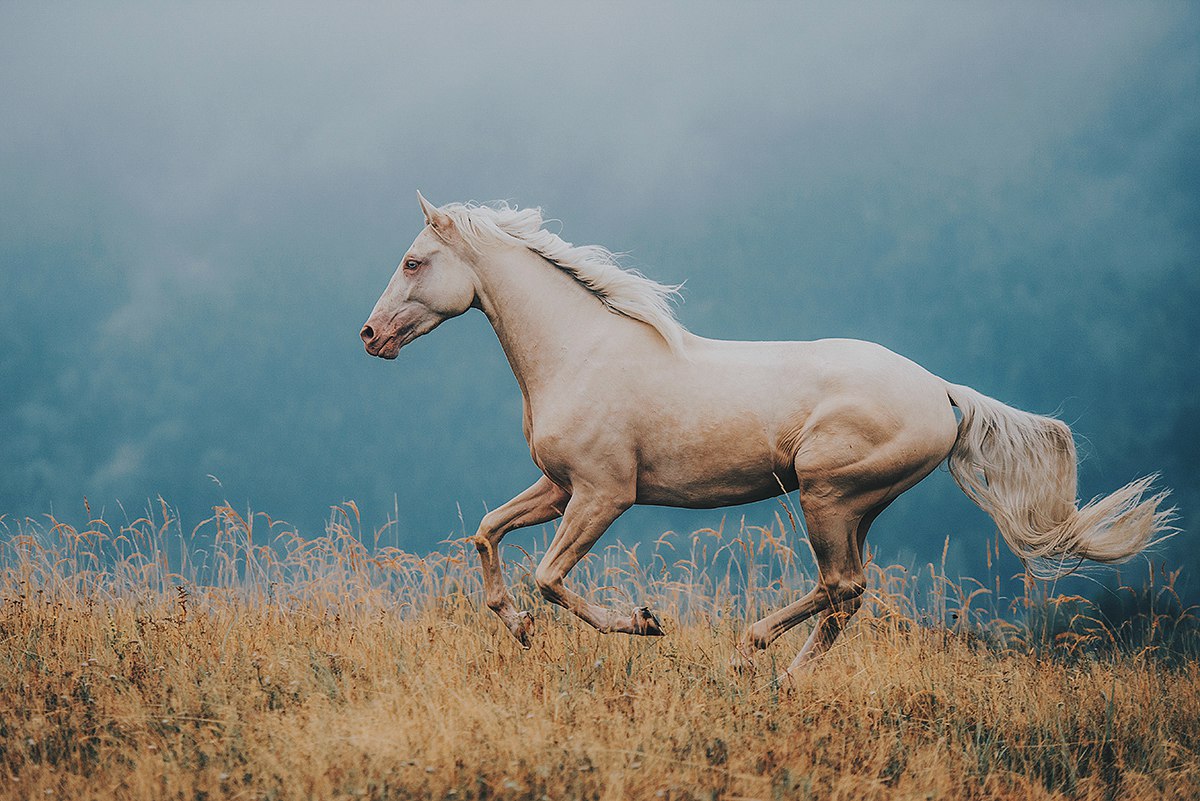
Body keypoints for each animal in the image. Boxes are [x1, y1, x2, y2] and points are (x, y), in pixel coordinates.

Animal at [360, 193, 1174, 675]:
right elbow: (488, 533)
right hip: (855, 505)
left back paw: (755, 652)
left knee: (840, 586)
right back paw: (785, 677)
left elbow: (551, 577)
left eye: (413, 260)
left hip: (827, 494)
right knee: (847, 593)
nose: (370, 336)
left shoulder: (603, 493)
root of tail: (942, 392)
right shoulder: (559, 487)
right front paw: (520, 627)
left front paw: (644, 622)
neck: (578, 351)